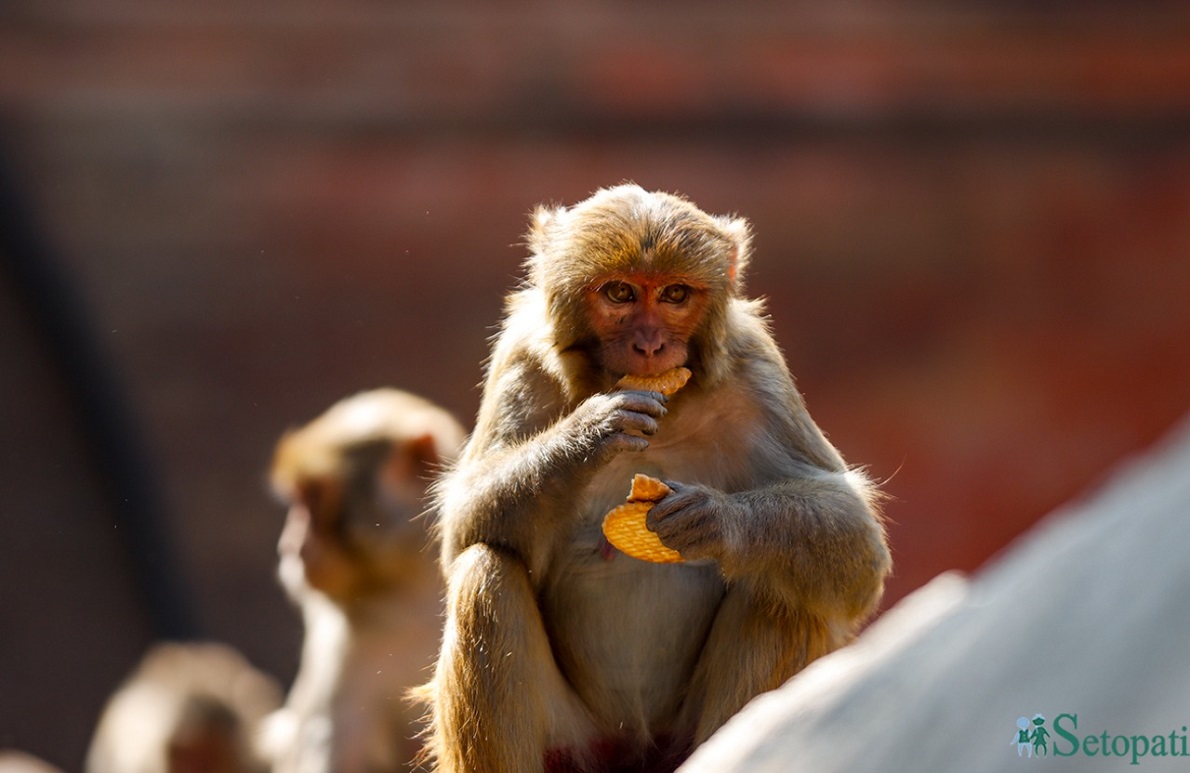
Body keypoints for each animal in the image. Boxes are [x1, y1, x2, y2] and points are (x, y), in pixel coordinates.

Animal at [421, 183, 894, 765]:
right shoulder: (522, 359)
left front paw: (714, 521)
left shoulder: (757, 369)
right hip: (582, 744)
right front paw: (593, 431)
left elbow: (857, 544)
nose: (649, 346)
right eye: (621, 292)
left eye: (673, 295)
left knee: (780, 586)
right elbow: (462, 526)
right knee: (486, 570)